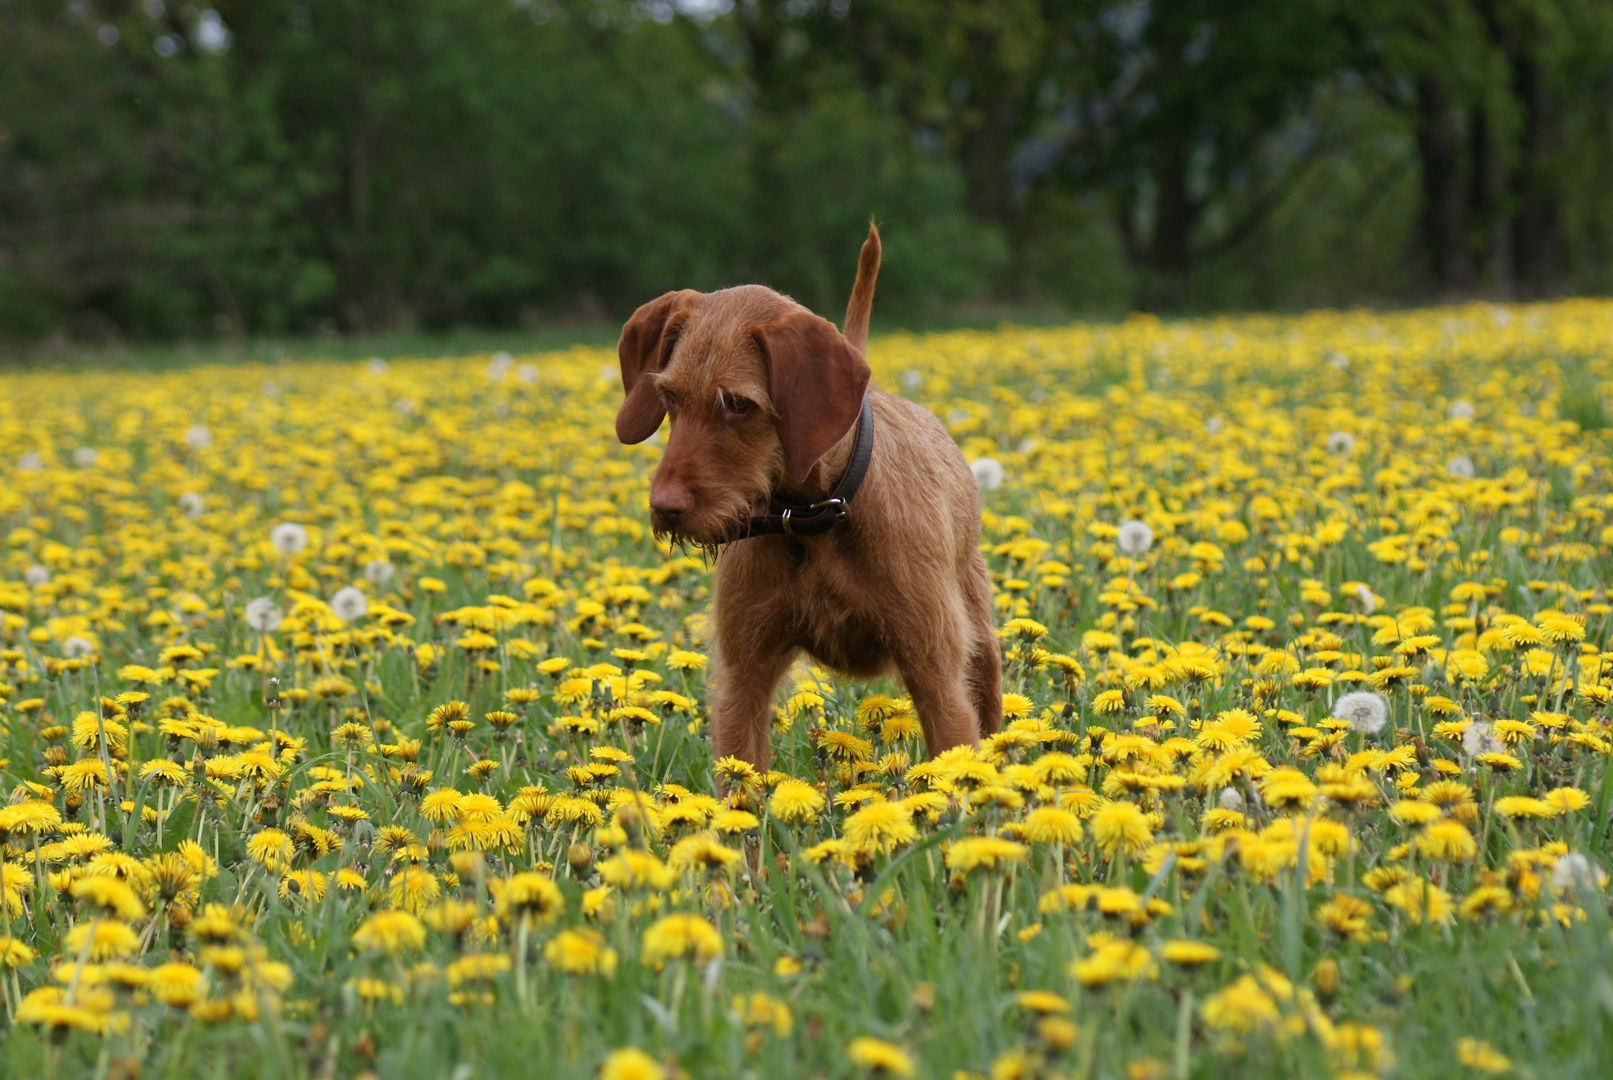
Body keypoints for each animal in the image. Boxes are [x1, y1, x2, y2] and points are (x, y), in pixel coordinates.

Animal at [612, 225, 993, 770]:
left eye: (738, 404)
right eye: (668, 397)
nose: (665, 508)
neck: (814, 516)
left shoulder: (937, 679)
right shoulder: (742, 680)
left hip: (981, 650)